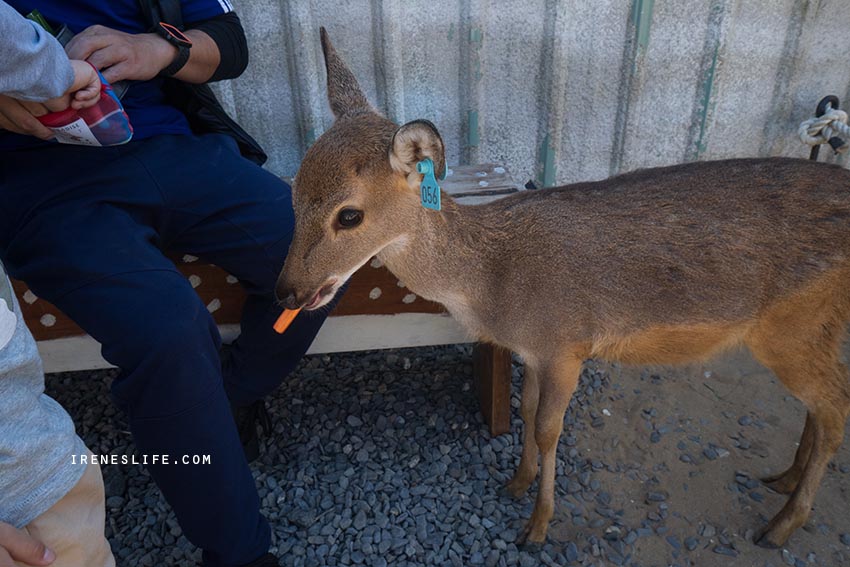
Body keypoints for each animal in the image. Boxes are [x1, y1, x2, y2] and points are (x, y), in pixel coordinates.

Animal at [276, 28, 848, 552]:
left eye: (350, 215)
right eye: (293, 193)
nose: (286, 292)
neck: (494, 283)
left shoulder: (567, 345)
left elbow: (550, 429)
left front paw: (537, 527)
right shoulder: (531, 350)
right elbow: (528, 412)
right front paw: (516, 482)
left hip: (791, 327)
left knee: (836, 405)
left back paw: (780, 525)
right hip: (814, 329)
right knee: (823, 405)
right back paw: (784, 480)